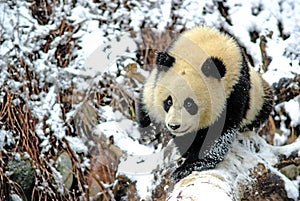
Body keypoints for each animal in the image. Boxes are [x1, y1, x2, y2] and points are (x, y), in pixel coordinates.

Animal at [138, 25, 274, 181]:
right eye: (168, 101)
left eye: (189, 104)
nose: (174, 125)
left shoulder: (234, 92)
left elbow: (217, 133)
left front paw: (190, 165)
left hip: (258, 97)